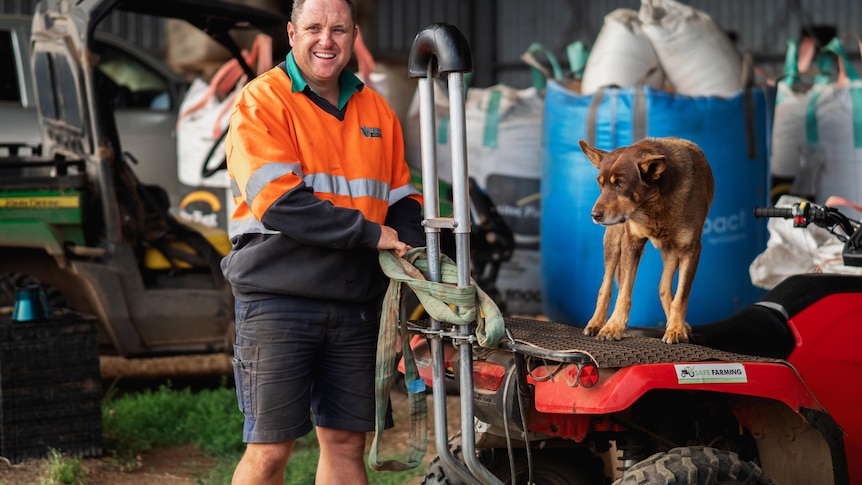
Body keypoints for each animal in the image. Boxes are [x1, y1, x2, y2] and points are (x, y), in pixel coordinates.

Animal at [580, 136, 716, 342]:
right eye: (600, 184)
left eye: (620, 184)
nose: (594, 215)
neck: (655, 202)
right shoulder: (631, 242)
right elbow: (624, 292)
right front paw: (613, 326)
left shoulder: (690, 249)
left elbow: (681, 295)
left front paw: (676, 329)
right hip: (613, 241)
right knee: (606, 285)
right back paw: (596, 322)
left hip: (671, 250)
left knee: (664, 287)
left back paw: (675, 323)